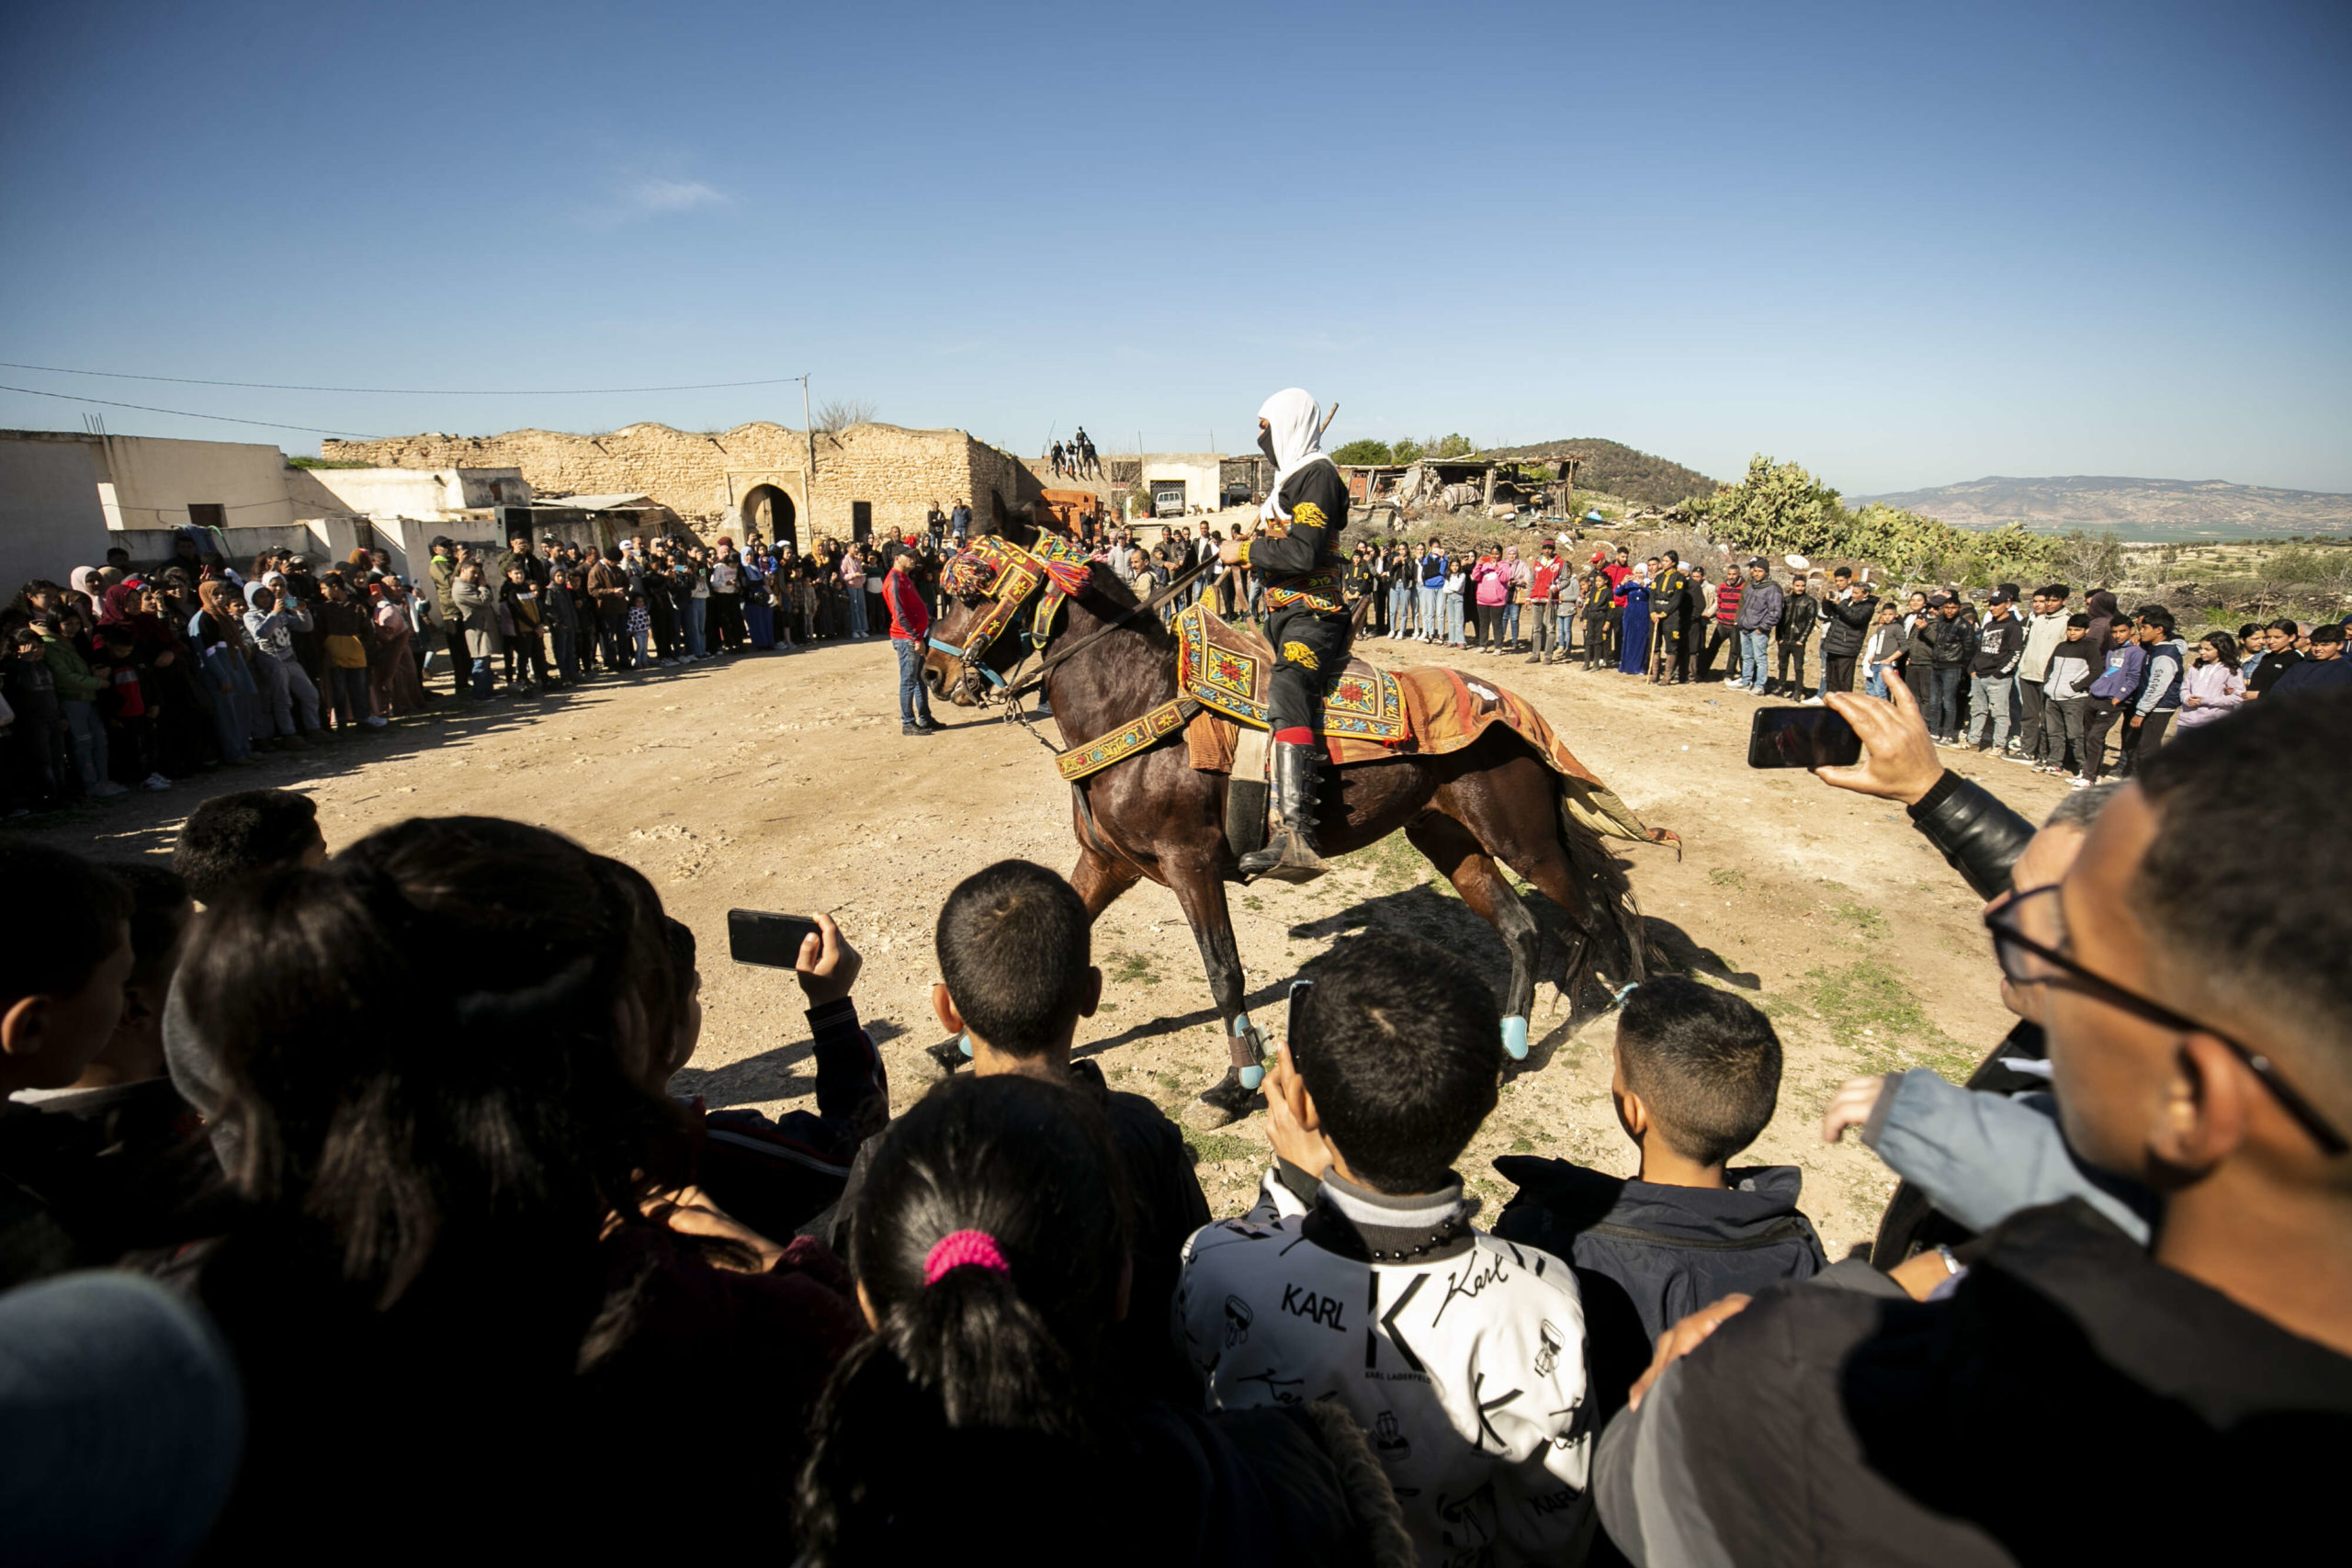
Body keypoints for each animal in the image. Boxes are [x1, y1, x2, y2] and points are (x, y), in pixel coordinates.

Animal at [917, 526, 1674, 1128]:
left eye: (975, 592)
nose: (930, 673)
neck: (1134, 704)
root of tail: (1509, 706)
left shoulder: (1191, 865)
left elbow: (1224, 972)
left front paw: (1235, 1084)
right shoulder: (1110, 864)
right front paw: (968, 1041)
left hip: (1525, 841)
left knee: (1593, 915)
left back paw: (1608, 1011)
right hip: (1451, 840)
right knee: (1523, 928)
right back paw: (1514, 1045)